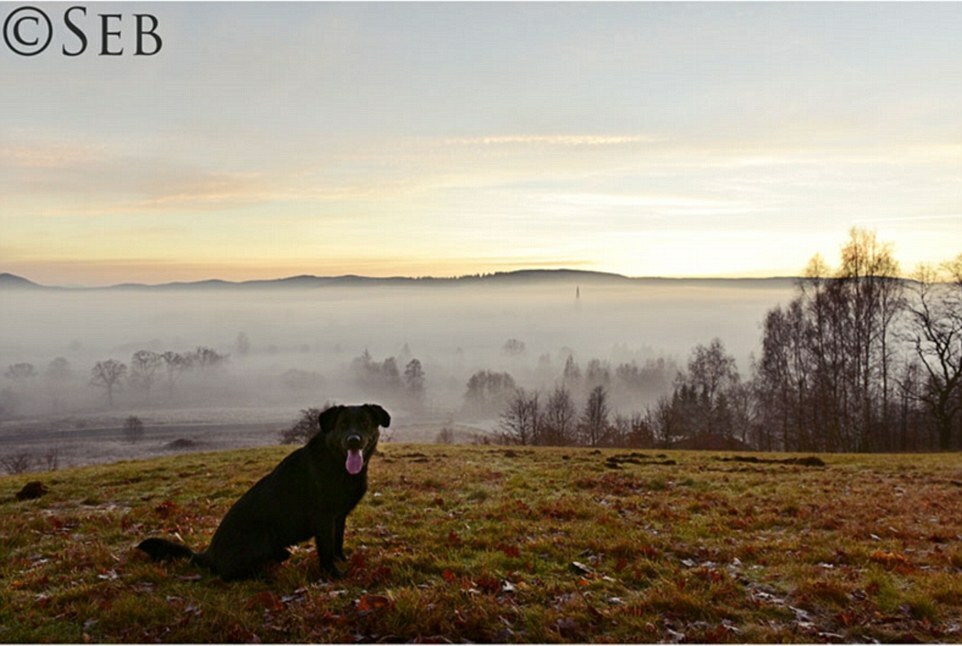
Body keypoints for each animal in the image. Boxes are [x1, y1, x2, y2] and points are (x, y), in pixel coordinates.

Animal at [136, 404, 390, 584]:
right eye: (343, 424)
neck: (337, 463)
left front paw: (342, 560)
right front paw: (333, 574)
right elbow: (326, 550)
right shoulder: (324, 518)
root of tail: (208, 555)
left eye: (365, 423)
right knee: (229, 574)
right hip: (261, 534)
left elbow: (338, 542)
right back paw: (265, 574)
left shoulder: (339, 516)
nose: (353, 440)